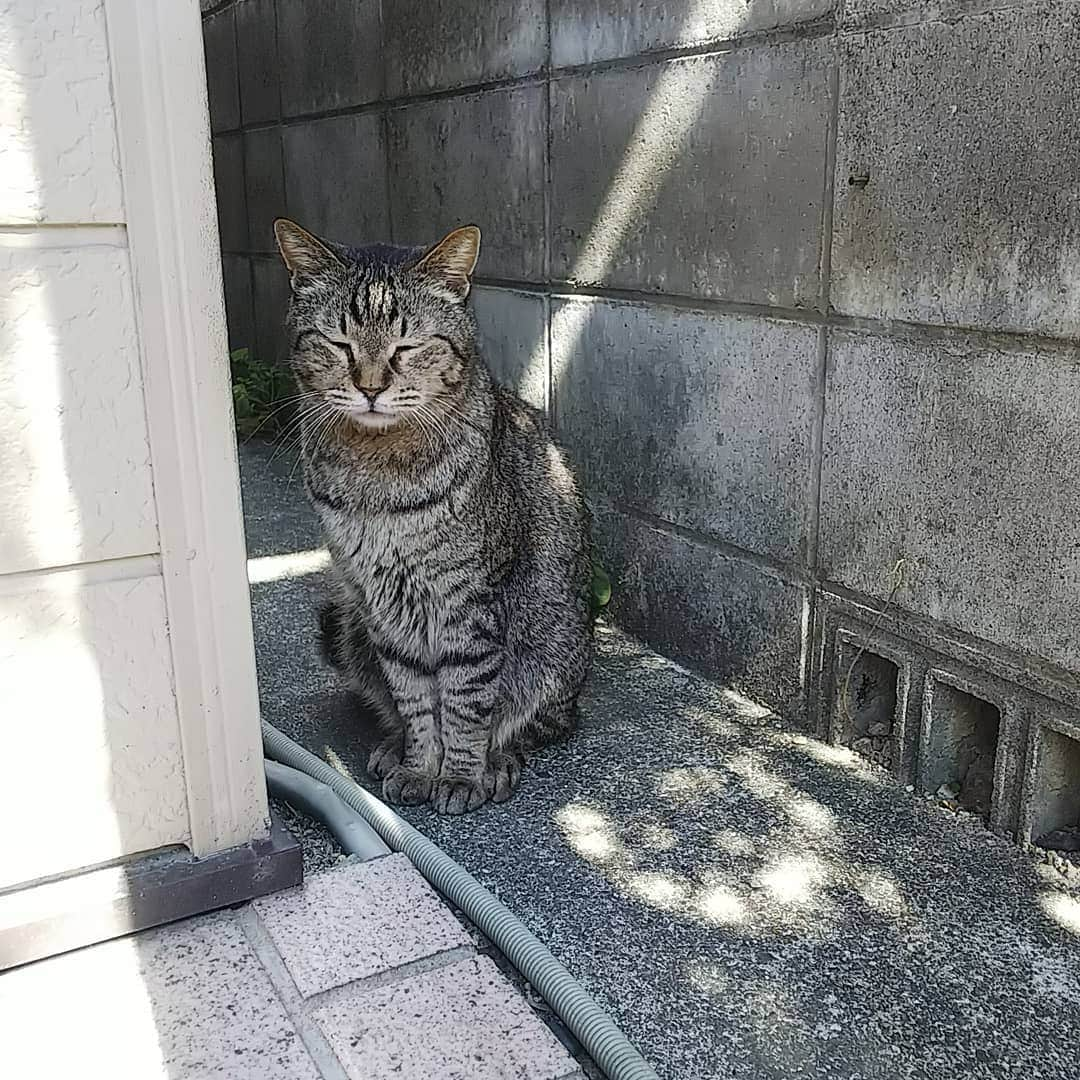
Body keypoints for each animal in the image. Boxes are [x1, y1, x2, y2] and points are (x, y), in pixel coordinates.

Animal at [270, 219, 591, 812]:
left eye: (407, 346)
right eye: (339, 344)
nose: (371, 388)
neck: (378, 469)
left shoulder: (470, 603)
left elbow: (466, 701)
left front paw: (461, 774)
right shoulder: (382, 603)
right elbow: (414, 697)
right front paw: (420, 763)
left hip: (553, 646)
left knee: (536, 721)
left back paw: (497, 760)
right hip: (349, 623)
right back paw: (393, 746)